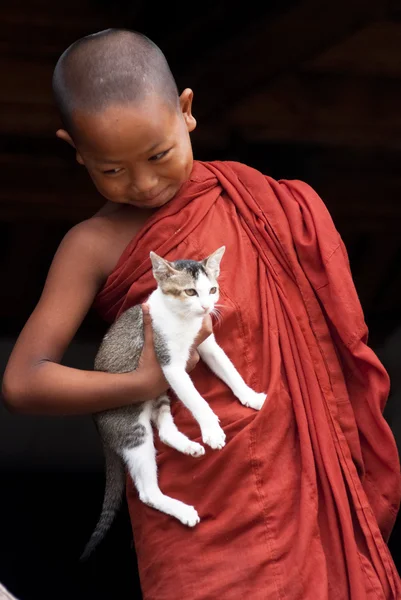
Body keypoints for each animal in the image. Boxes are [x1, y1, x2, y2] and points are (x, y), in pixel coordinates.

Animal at [81, 246, 266, 560]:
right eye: (190, 291)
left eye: (212, 289)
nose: (206, 307)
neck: (182, 319)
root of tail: (96, 421)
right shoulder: (168, 365)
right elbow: (196, 399)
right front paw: (212, 431)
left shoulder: (205, 344)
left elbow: (229, 369)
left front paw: (249, 395)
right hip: (132, 427)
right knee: (146, 491)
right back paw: (181, 510)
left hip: (157, 395)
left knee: (165, 432)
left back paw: (189, 447)